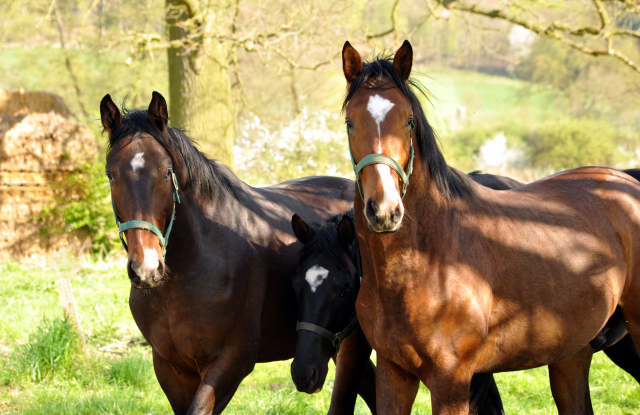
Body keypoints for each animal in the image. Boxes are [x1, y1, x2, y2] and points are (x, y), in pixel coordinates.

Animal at [340, 39, 640, 415]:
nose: (384, 210)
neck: (429, 259)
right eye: (351, 122)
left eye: (408, 120)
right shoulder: (393, 373)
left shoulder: (452, 381)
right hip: (571, 351)